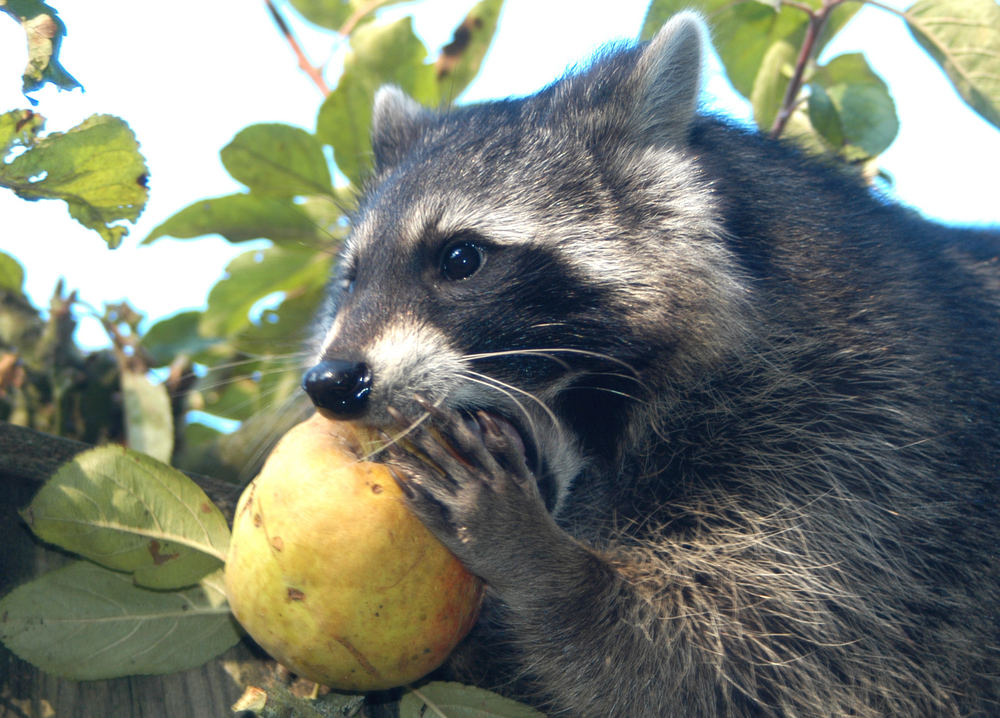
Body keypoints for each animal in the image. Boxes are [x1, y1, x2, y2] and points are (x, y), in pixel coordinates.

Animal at [302, 12, 1000, 718]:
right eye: (351, 280)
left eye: (460, 259)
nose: (332, 382)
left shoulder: (855, 446)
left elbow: (724, 669)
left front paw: (540, 564)